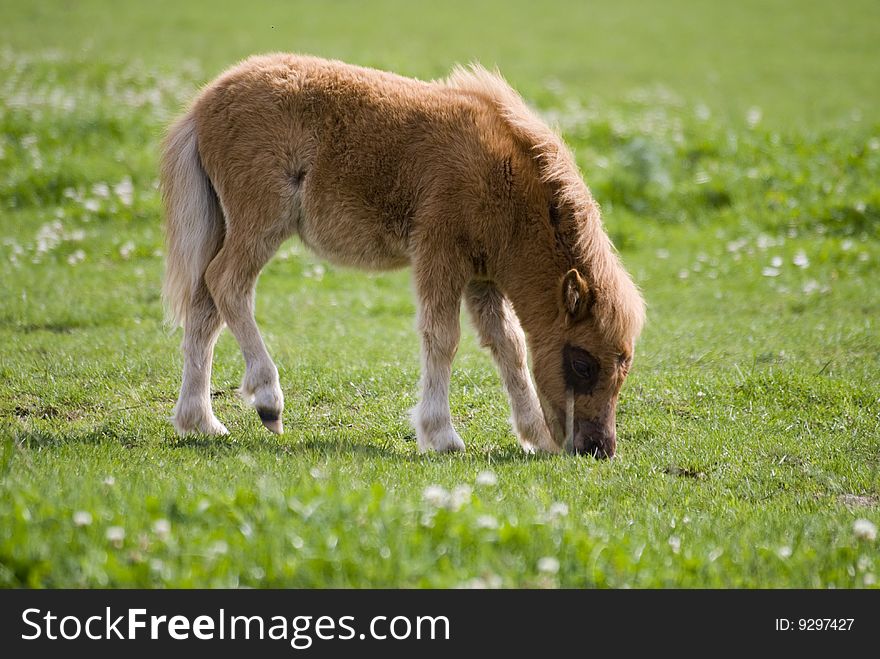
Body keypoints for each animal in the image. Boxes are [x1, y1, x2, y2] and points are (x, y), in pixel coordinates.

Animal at [163, 54, 648, 456]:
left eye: (623, 369)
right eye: (582, 363)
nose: (598, 448)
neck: (501, 176)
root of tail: (203, 104)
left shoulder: (482, 277)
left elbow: (508, 345)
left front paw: (534, 436)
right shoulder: (439, 253)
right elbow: (443, 337)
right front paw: (442, 436)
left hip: (224, 224)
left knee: (204, 306)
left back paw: (201, 422)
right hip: (261, 221)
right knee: (227, 284)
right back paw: (267, 401)